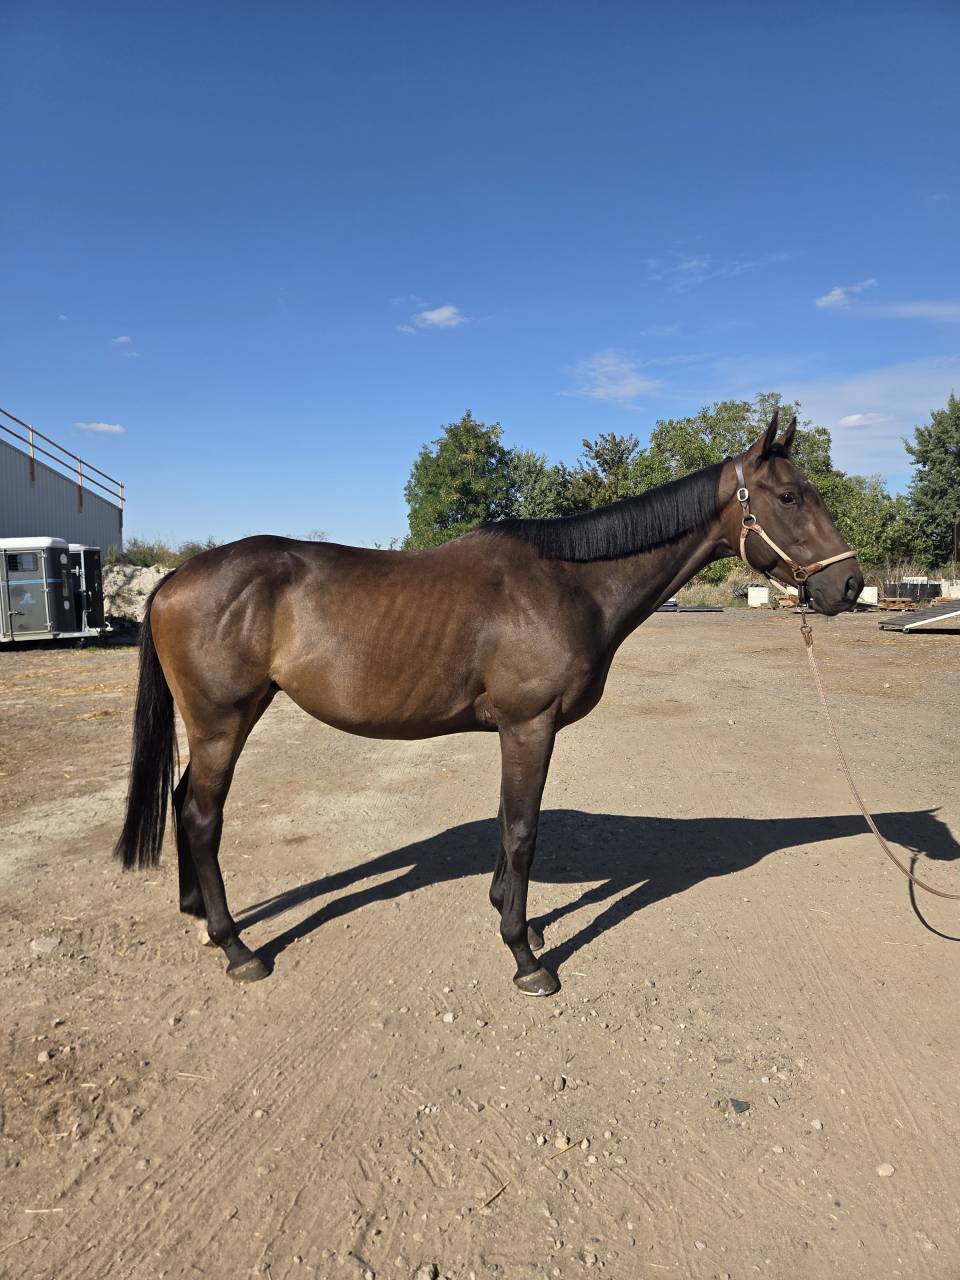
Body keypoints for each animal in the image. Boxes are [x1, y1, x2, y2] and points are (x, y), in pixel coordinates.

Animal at [114, 411, 863, 993]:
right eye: (790, 497)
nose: (850, 585)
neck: (570, 584)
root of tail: (176, 577)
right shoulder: (531, 726)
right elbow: (524, 831)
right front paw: (525, 956)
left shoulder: (517, 730)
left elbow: (509, 823)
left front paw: (510, 912)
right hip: (223, 721)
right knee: (203, 815)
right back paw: (237, 947)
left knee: (184, 802)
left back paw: (199, 918)